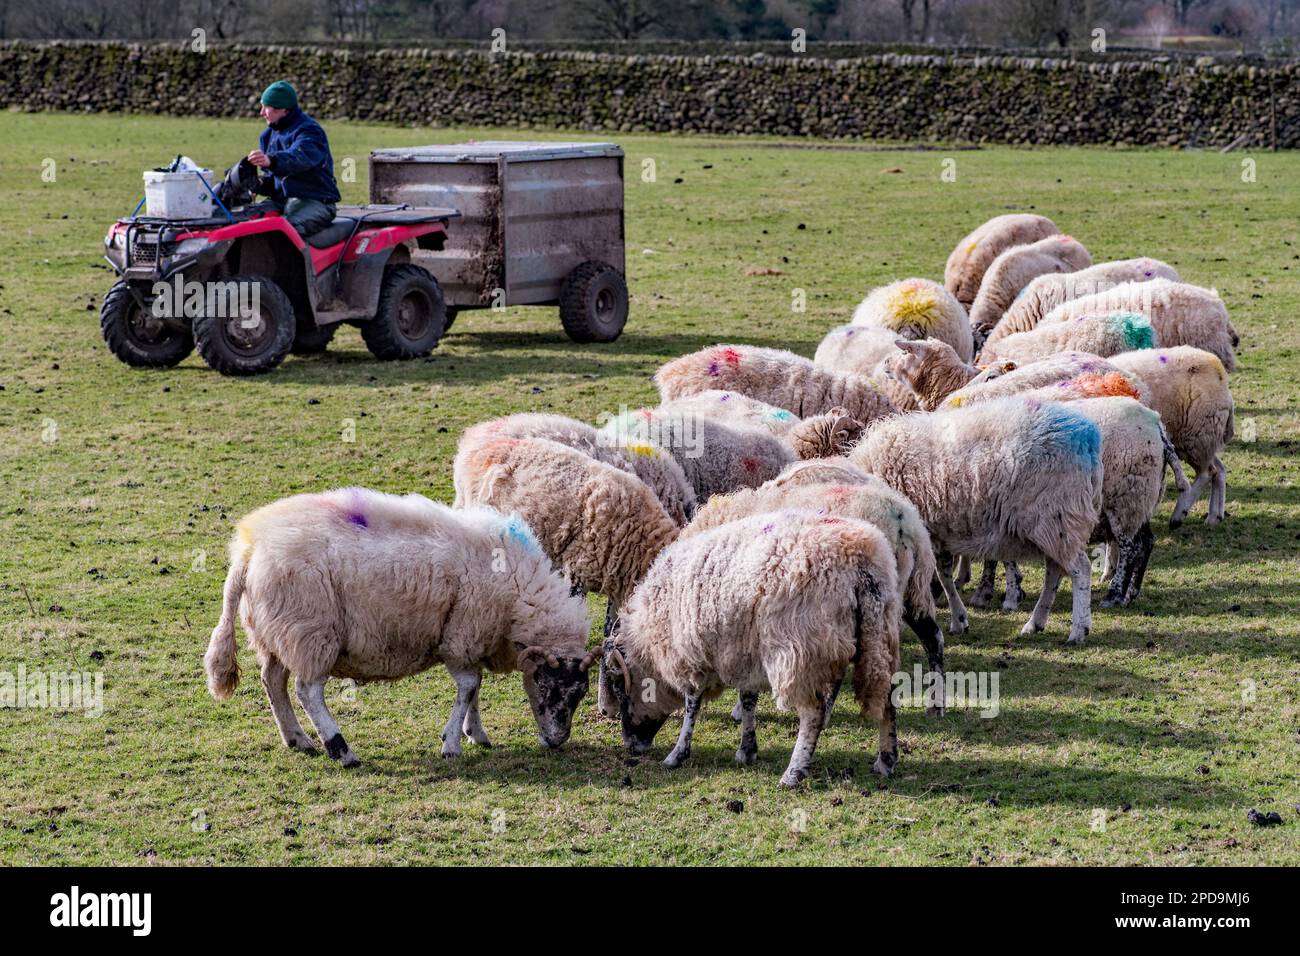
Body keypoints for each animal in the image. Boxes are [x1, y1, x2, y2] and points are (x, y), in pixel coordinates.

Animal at [202, 489, 599, 765]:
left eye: (580, 693)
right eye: (546, 686)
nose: (556, 741)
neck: (518, 595)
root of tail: (250, 550)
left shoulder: (471, 640)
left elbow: (475, 687)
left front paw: (476, 733)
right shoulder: (463, 634)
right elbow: (469, 685)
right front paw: (452, 744)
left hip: (278, 632)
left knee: (273, 681)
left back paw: (297, 739)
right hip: (311, 630)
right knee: (307, 690)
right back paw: (341, 750)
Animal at [603, 510, 902, 786]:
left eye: (619, 687)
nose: (631, 746)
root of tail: (859, 560)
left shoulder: (692, 655)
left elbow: (692, 705)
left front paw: (677, 754)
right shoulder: (742, 652)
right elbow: (747, 700)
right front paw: (747, 750)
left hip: (801, 651)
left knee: (813, 713)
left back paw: (794, 772)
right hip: (878, 639)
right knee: (887, 698)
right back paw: (886, 761)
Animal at [849, 398, 1104, 644]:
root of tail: (1086, 436)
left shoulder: (927, 534)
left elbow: (940, 578)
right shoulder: (937, 532)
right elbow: (944, 576)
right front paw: (959, 619)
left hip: (1057, 517)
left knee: (1080, 569)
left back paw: (1078, 630)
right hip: (1054, 525)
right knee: (1054, 571)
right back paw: (1035, 623)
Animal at [1109, 346, 1235, 526]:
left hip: (1196, 434)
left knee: (1207, 472)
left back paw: (1179, 515)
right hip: (1199, 438)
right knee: (1219, 469)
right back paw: (1214, 516)